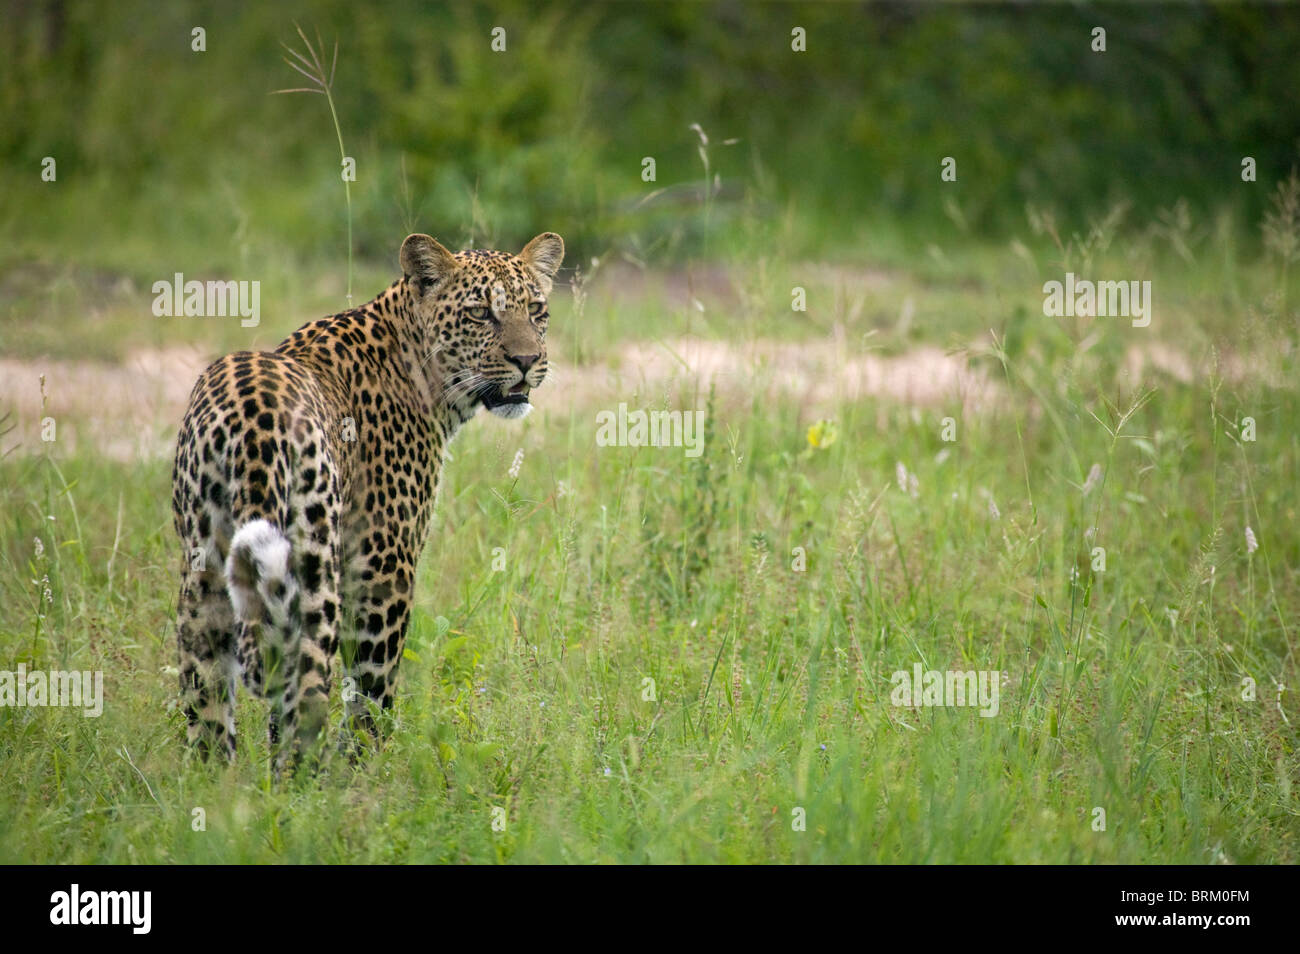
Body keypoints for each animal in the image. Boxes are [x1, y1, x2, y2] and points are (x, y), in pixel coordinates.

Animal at [170, 230, 563, 768]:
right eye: (481, 313)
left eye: (537, 310)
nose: (527, 362)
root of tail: (252, 417)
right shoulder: (383, 560)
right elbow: (372, 689)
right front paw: (366, 768)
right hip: (315, 569)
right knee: (303, 696)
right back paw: (310, 785)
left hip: (204, 566)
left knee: (208, 704)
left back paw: (220, 788)